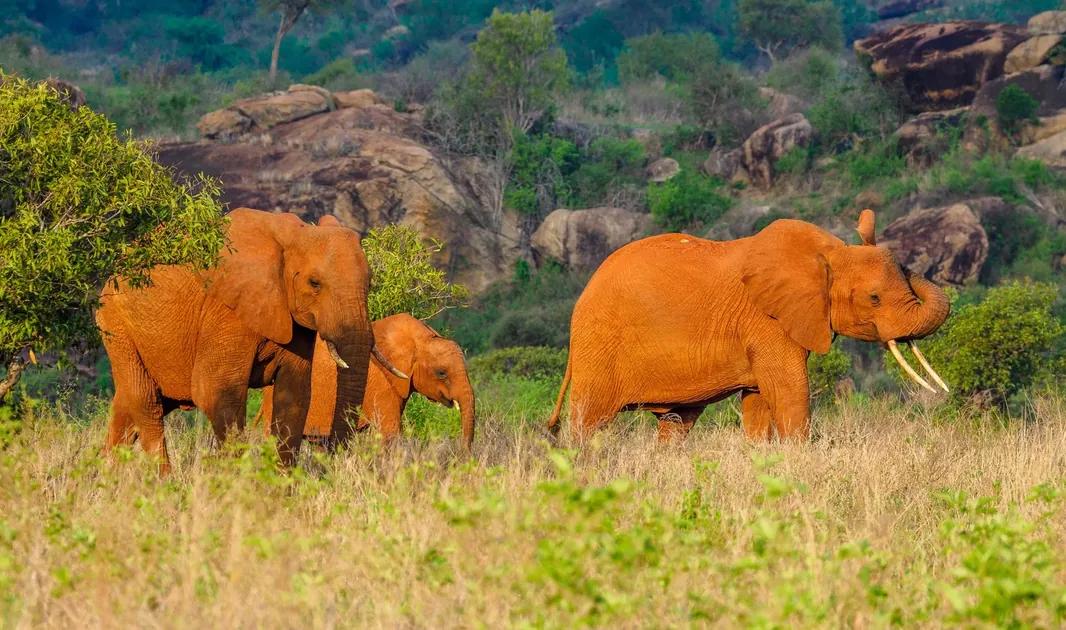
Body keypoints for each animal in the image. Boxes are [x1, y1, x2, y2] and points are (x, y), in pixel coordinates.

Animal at [96, 209, 406, 472]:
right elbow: (214, 391)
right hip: (116, 326)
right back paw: (163, 483)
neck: (293, 235)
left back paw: (104, 479)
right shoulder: (226, 311)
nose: (332, 454)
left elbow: (294, 396)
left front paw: (282, 488)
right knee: (146, 401)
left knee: (128, 407)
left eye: (370, 283)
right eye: (314, 283)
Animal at [546, 209, 951, 443]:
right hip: (599, 346)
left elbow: (758, 403)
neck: (829, 253)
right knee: (588, 423)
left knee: (676, 426)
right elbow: (790, 392)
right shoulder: (766, 321)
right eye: (874, 298)